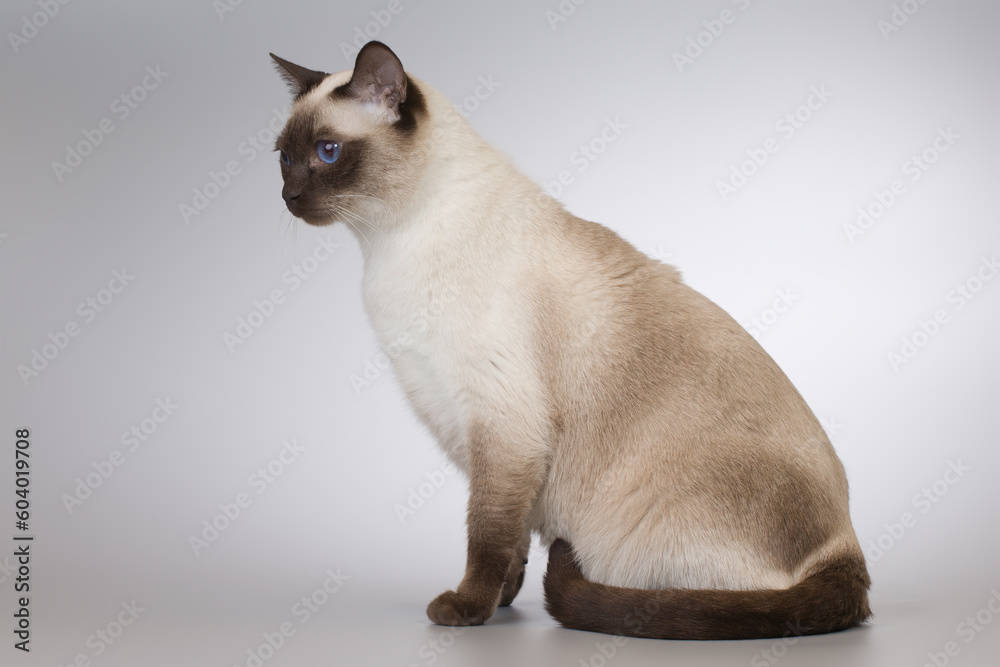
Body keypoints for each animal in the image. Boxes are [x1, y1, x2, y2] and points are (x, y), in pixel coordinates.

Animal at [270, 41, 872, 640]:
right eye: (283, 157)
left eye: (327, 152)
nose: (289, 196)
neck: (385, 247)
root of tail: (849, 550)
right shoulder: (476, 428)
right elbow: (511, 541)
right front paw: (502, 603)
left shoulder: (504, 426)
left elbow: (486, 533)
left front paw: (467, 610)